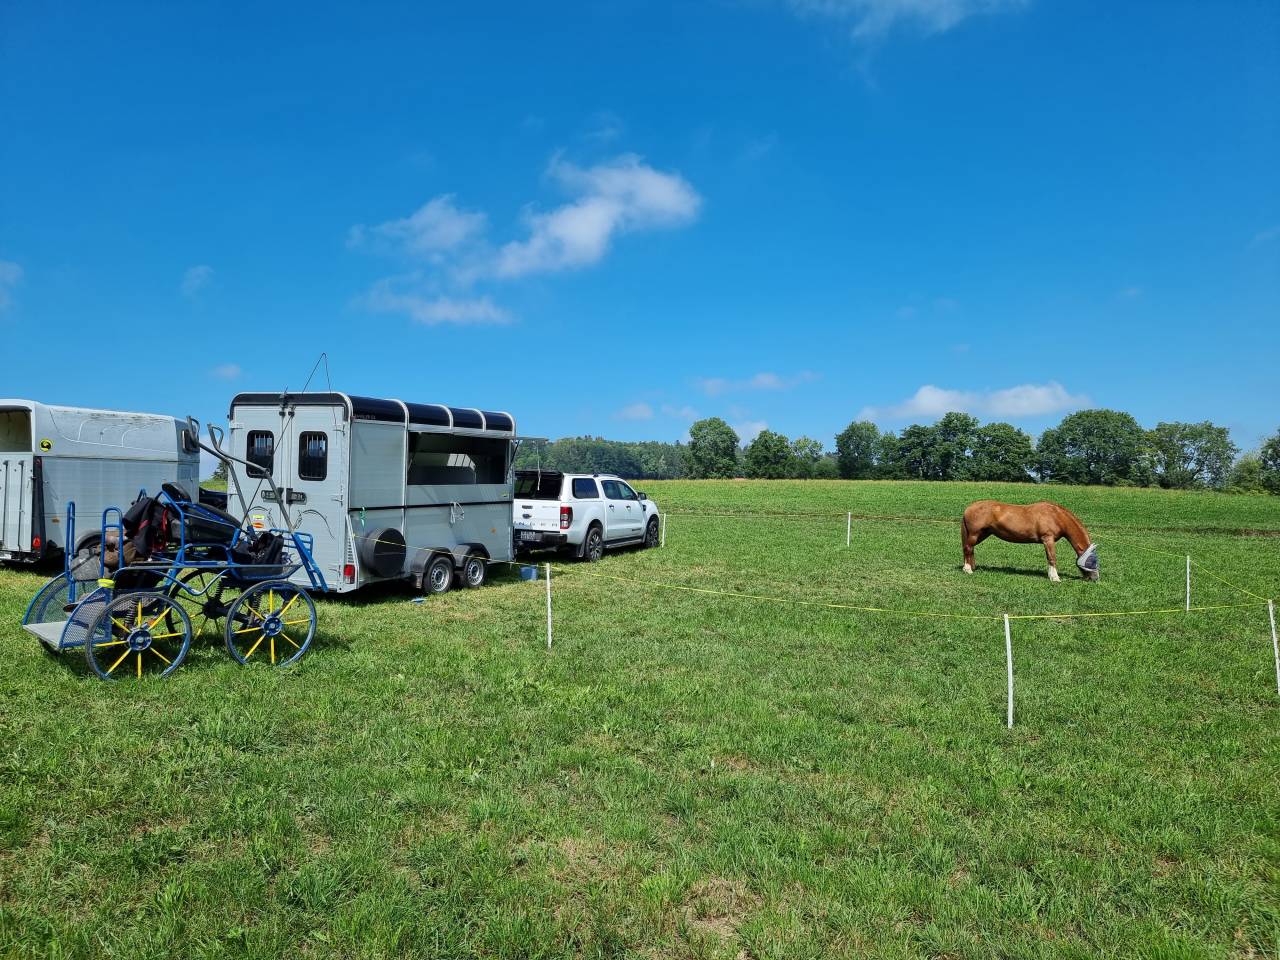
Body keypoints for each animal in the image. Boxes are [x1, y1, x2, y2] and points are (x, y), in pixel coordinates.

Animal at [961, 500, 1099, 582]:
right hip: (974, 534)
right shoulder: (1048, 539)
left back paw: (972, 567)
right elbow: (1052, 558)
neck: (1056, 516)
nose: (1095, 578)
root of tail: (969, 507)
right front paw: (1055, 578)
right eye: (1092, 561)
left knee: (970, 549)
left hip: (983, 534)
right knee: (968, 548)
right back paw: (968, 570)